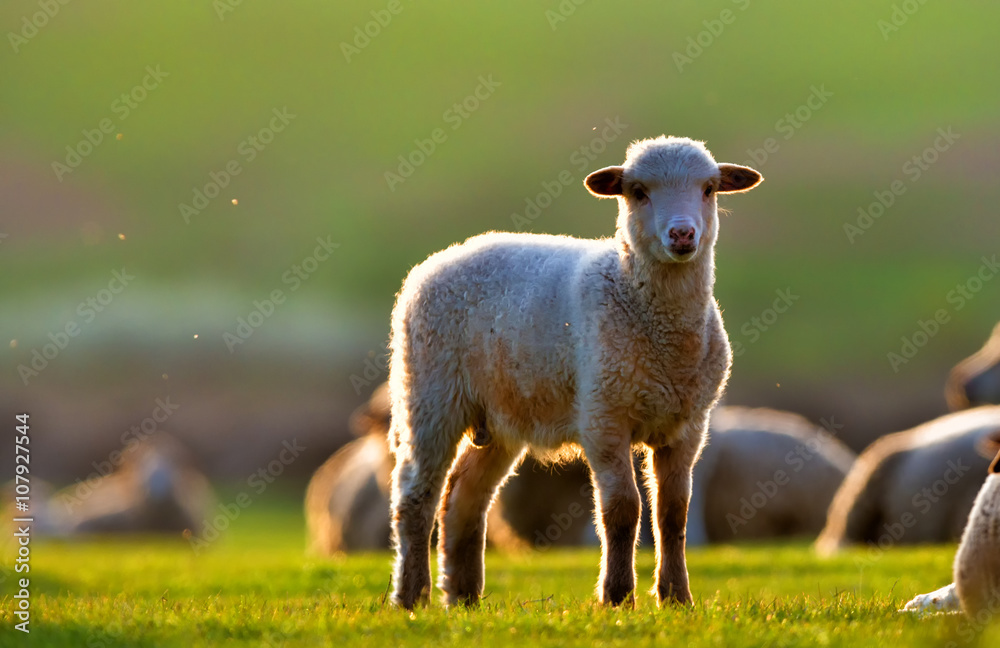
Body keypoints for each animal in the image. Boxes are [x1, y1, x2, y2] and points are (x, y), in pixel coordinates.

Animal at [387, 136, 762, 608]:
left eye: (709, 188)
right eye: (638, 191)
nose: (682, 234)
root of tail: (437, 261)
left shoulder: (688, 426)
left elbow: (673, 512)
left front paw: (676, 597)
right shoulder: (603, 418)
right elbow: (622, 510)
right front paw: (617, 596)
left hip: (500, 415)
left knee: (464, 497)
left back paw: (464, 598)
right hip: (429, 396)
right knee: (415, 497)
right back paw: (411, 596)